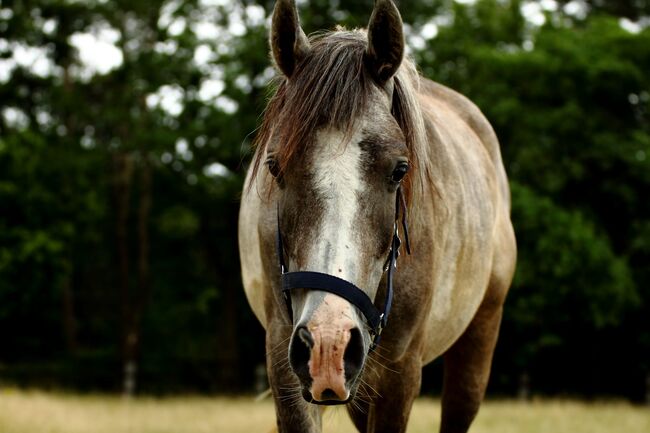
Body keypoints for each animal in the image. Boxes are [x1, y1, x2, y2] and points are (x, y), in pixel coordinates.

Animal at [235, 0, 512, 432]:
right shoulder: (284, 354)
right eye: (275, 167)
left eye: (400, 169)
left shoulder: (400, 369)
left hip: (478, 338)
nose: (328, 342)